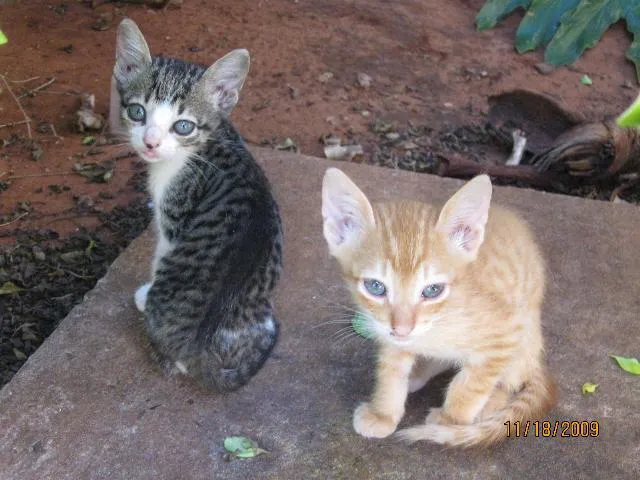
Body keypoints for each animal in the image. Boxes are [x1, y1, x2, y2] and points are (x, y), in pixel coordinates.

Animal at [113, 20, 282, 392]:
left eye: (182, 125)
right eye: (137, 111)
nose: (150, 143)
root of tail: (196, 347)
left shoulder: (172, 219)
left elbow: (160, 252)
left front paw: (145, 293)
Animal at [322, 168, 556, 446]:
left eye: (433, 290)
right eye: (375, 287)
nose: (402, 329)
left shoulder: (507, 334)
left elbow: (472, 384)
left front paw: (451, 419)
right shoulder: (391, 339)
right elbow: (390, 372)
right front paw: (383, 413)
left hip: (526, 337)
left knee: (509, 379)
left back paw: (491, 403)